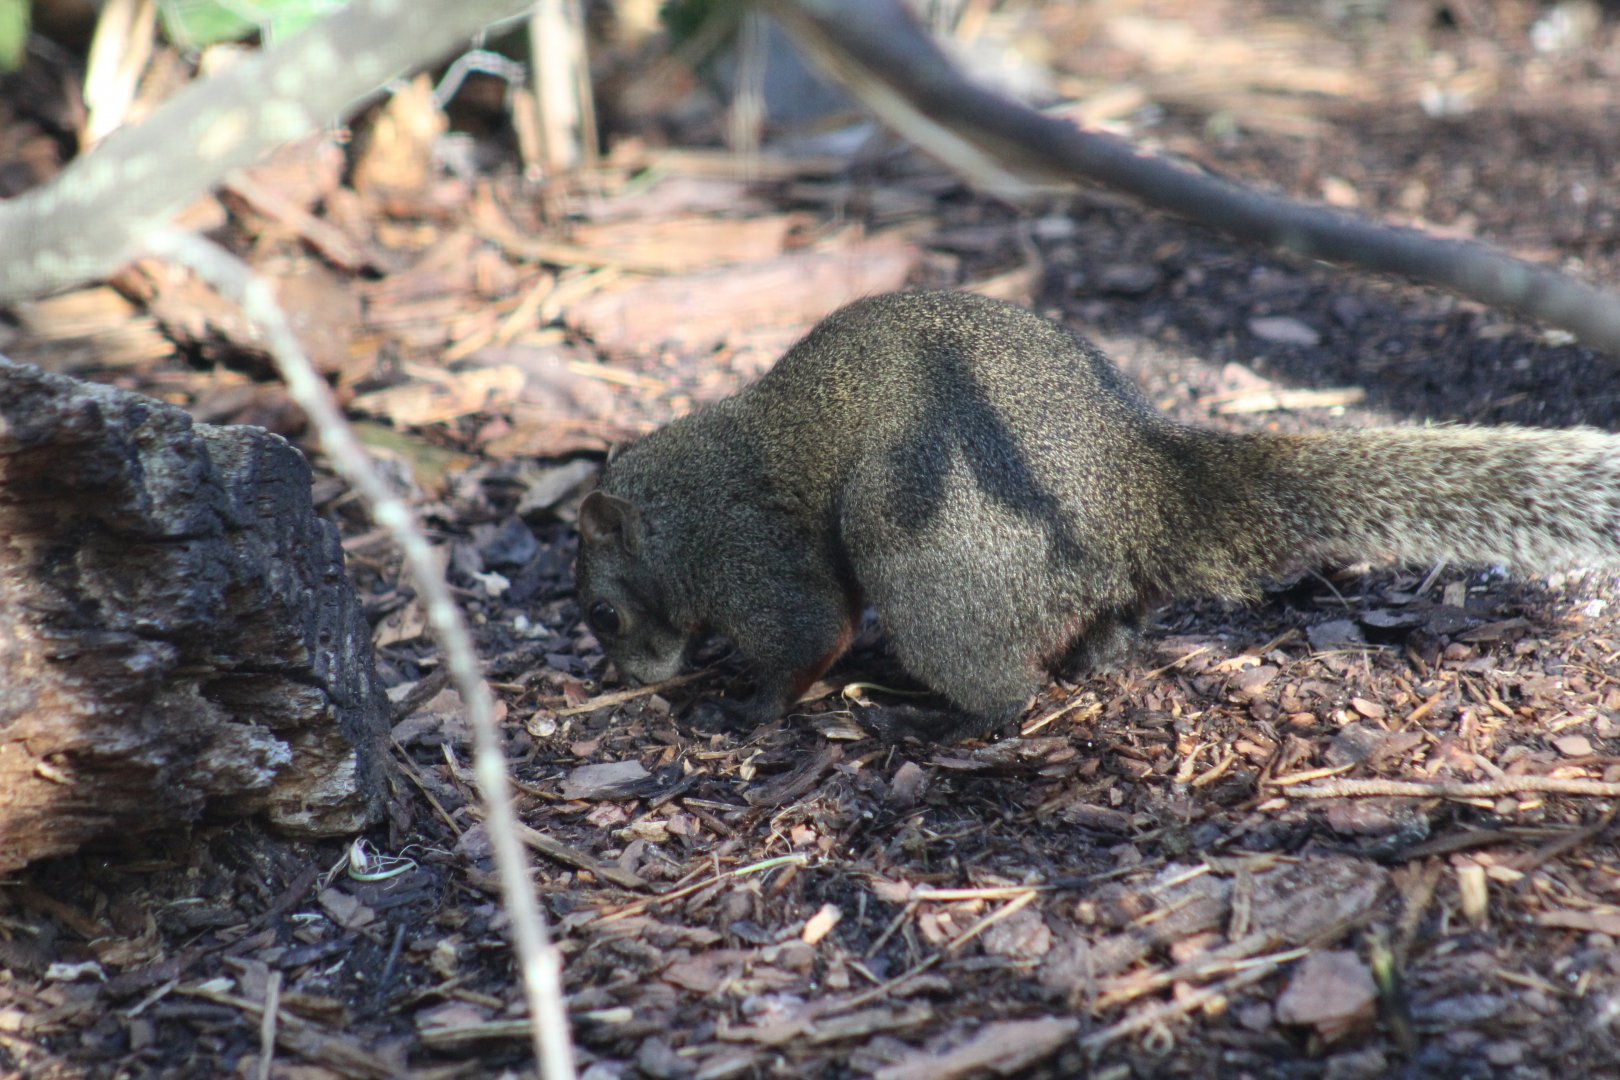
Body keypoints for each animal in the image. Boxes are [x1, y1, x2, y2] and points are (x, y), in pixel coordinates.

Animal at [576, 290, 1620, 740]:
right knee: (1118, 617)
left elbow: (809, 637)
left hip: (923, 552)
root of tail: (1134, 484)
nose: (623, 677)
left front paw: (744, 710)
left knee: (1003, 692)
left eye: (603, 612)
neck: (681, 503)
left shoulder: (750, 551)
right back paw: (1089, 659)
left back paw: (934, 724)